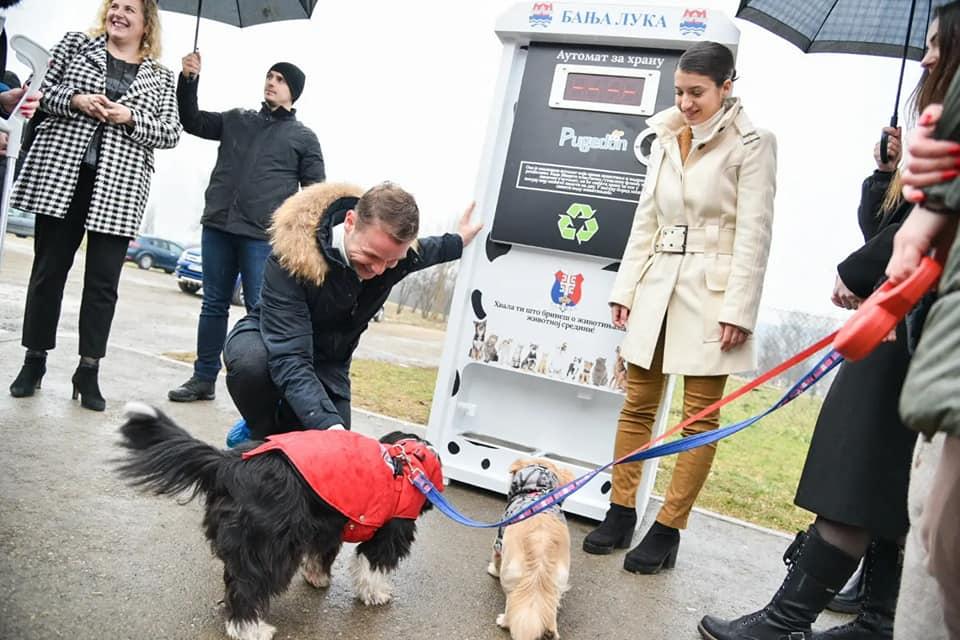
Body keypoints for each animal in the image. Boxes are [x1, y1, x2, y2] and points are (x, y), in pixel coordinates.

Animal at [116, 402, 442, 640]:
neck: (406, 461)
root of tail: (229, 465)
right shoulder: (388, 534)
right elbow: (373, 566)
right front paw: (375, 594)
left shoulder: (328, 524)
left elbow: (322, 553)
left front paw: (317, 577)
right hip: (270, 547)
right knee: (247, 588)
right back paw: (251, 628)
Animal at [484, 458, 572, 636]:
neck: (540, 490)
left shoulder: (499, 541)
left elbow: (495, 560)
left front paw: (492, 570)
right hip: (557, 583)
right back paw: (550, 633)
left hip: (510, 577)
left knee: (512, 606)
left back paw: (503, 621)